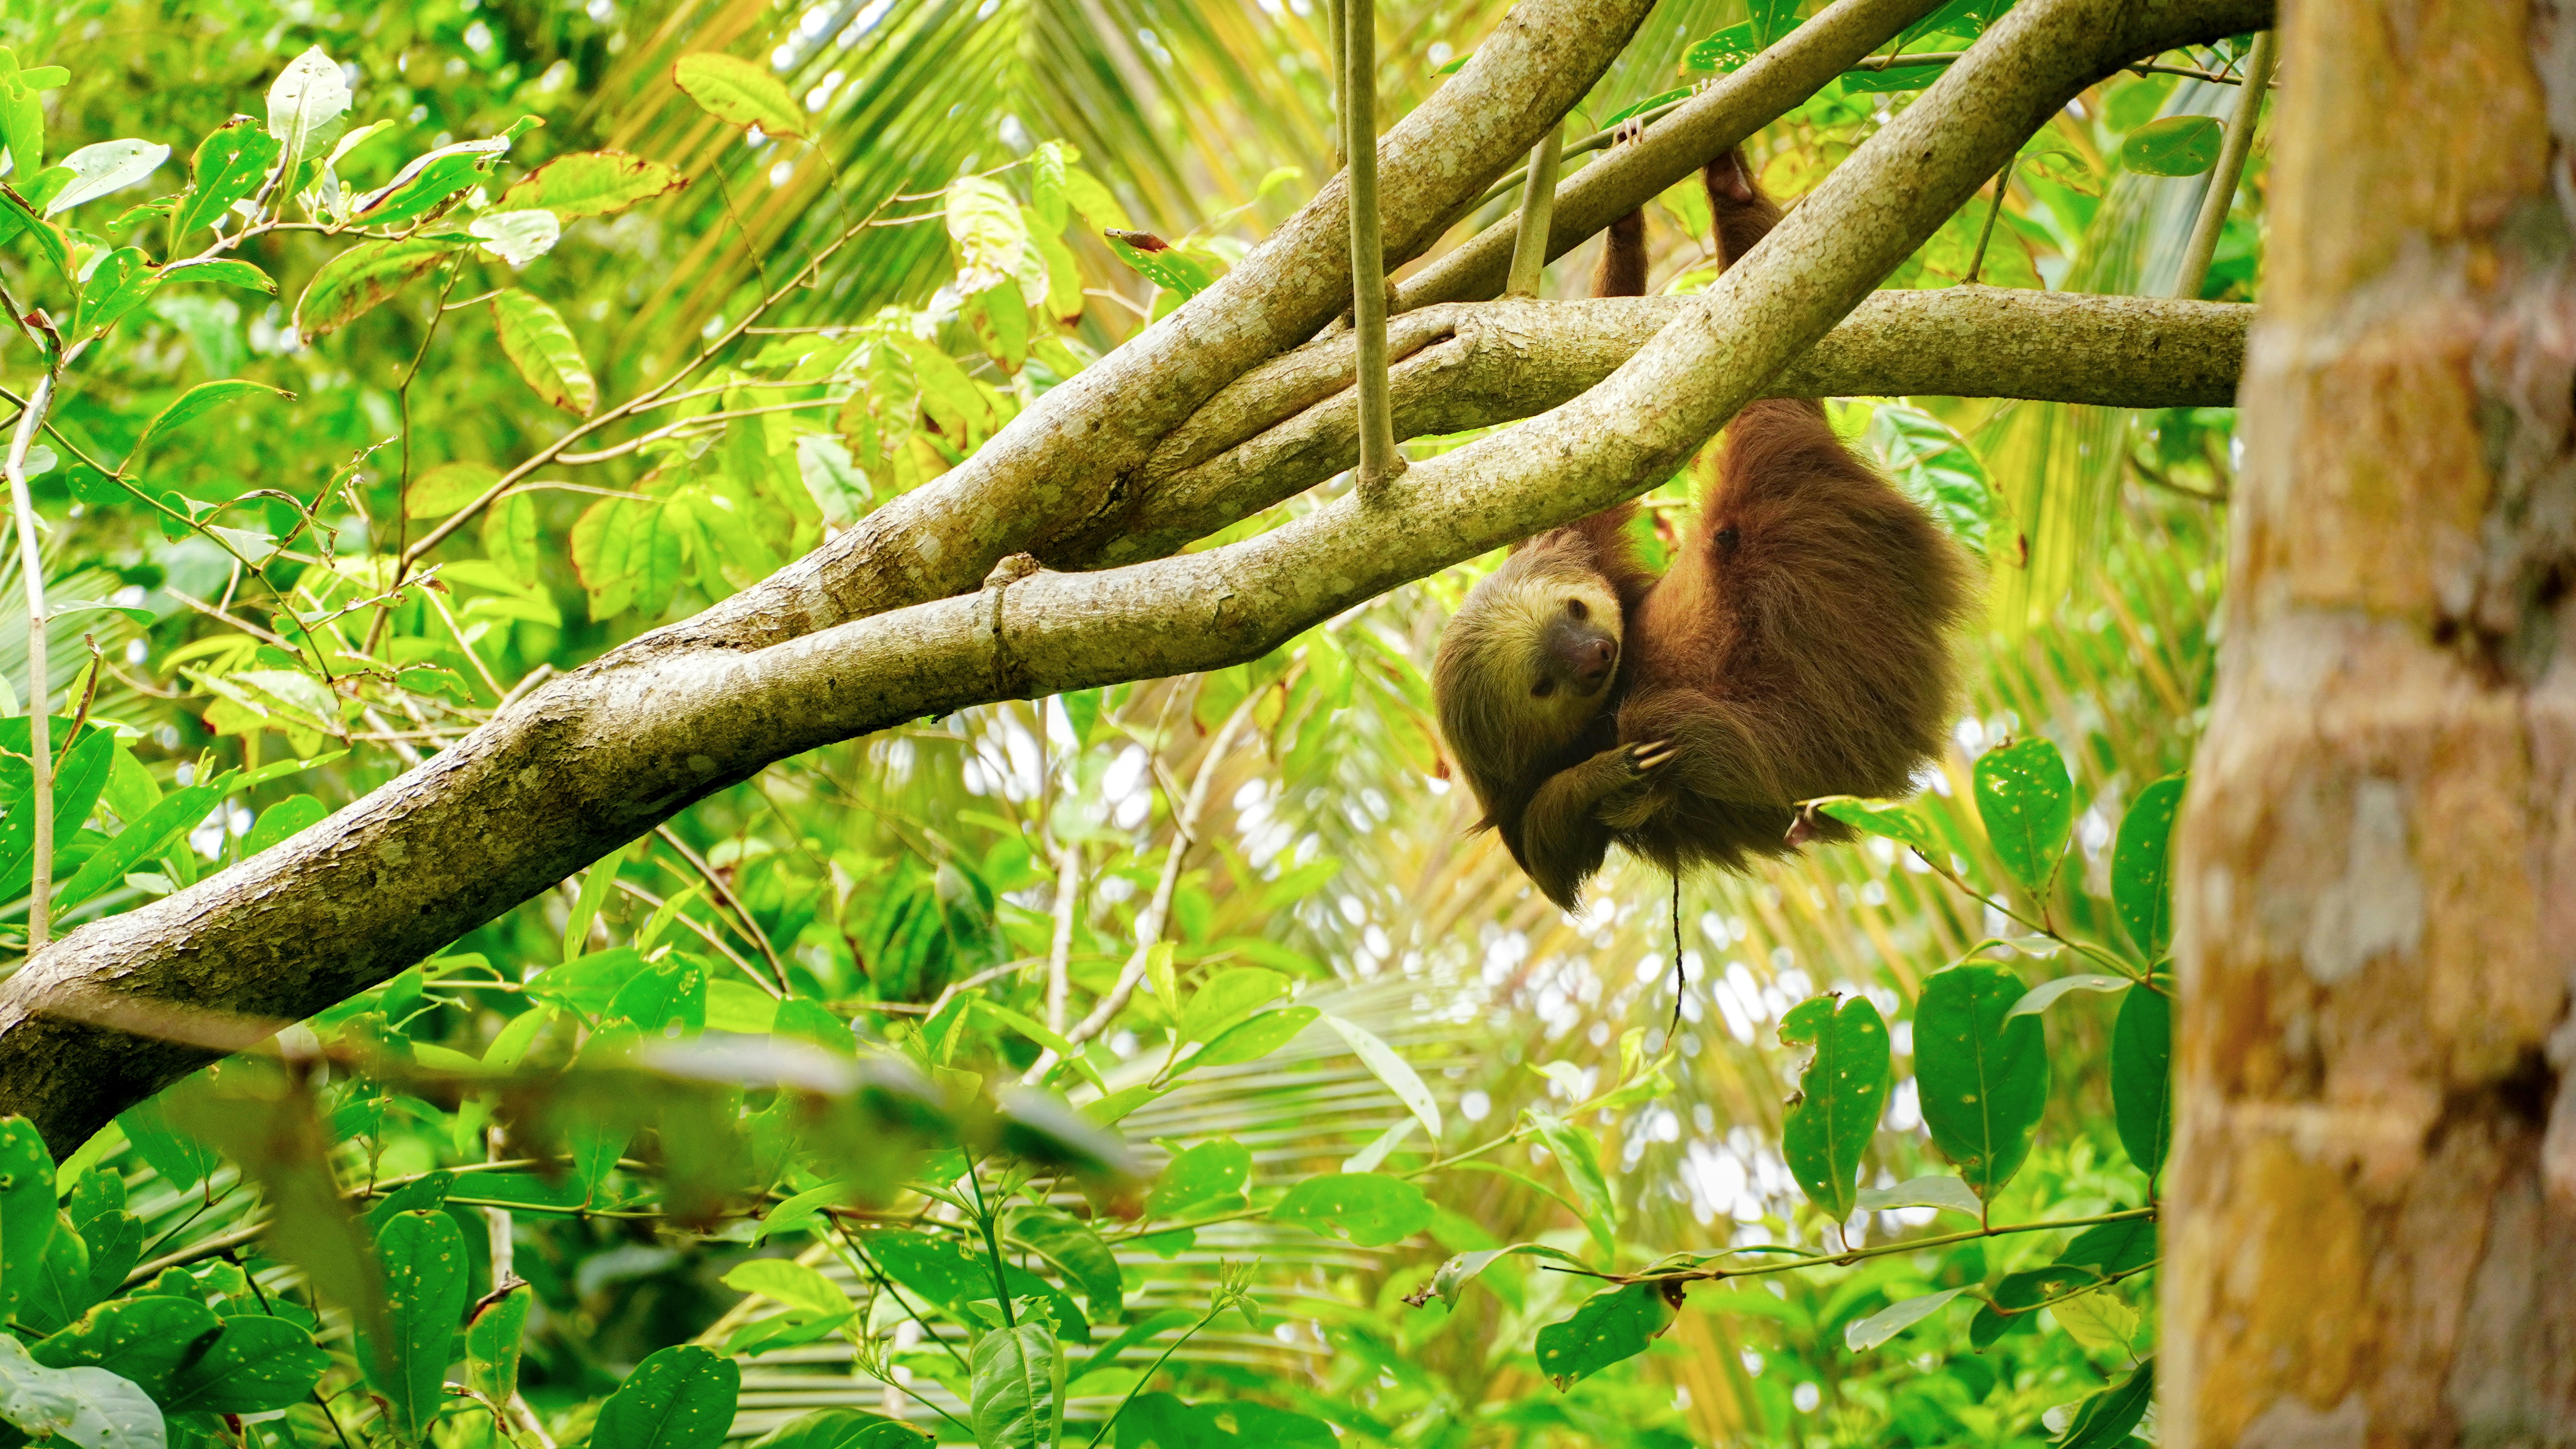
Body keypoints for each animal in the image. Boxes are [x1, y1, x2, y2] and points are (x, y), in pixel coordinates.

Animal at [1432, 150, 1975, 912]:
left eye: (1576, 610)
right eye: (1544, 684)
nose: (1597, 654)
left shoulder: (1574, 537)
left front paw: (1625, 219)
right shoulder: (1510, 794)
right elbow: (1547, 855)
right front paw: (1610, 775)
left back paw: (1731, 188)